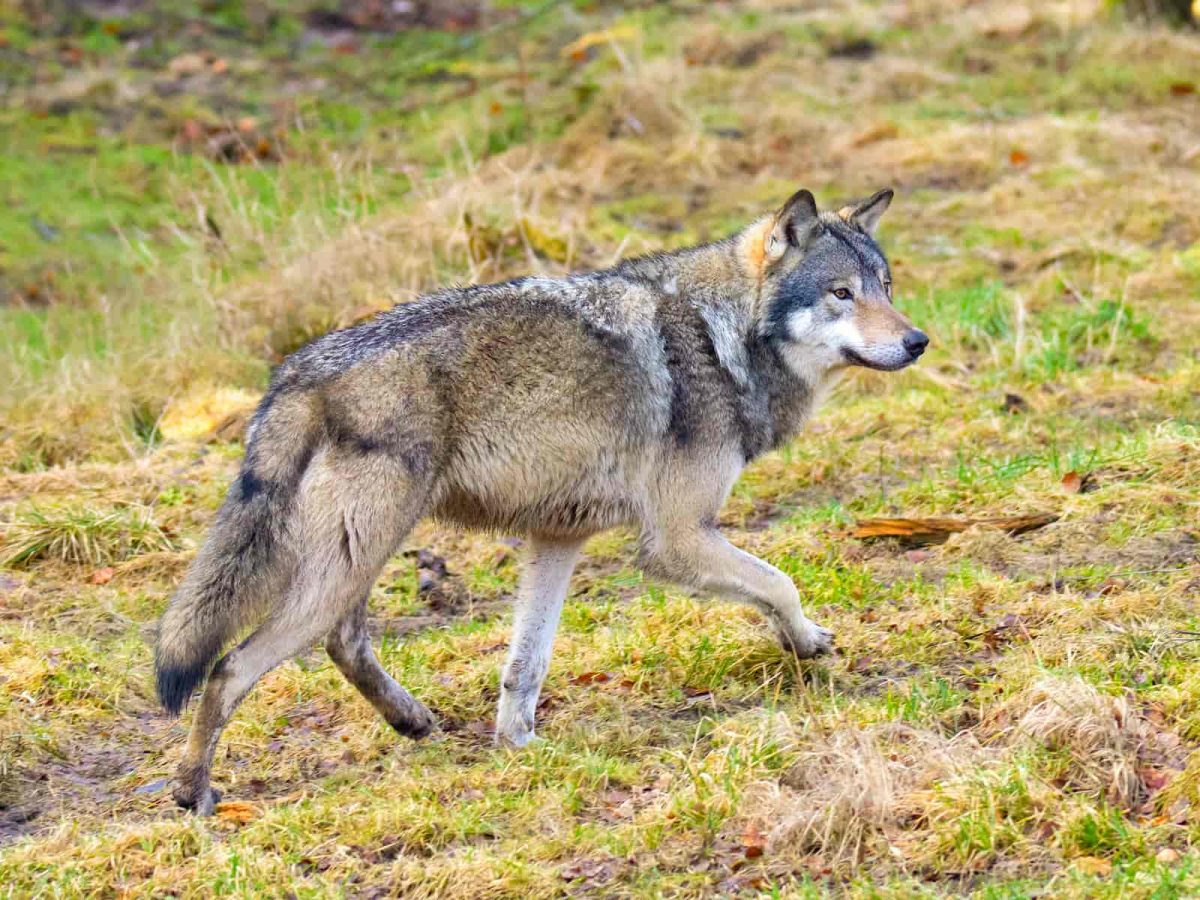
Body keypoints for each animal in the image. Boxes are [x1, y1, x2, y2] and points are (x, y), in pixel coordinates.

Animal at [155, 187, 927, 813]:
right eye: (841, 294)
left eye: (886, 286)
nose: (918, 340)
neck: (722, 339)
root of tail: (296, 373)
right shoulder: (676, 538)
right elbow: (779, 583)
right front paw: (808, 642)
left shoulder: (558, 538)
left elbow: (524, 665)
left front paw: (517, 748)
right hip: (353, 557)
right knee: (230, 668)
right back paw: (194, 793)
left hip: (355, 558)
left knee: (343, 643)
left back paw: (412, 721)